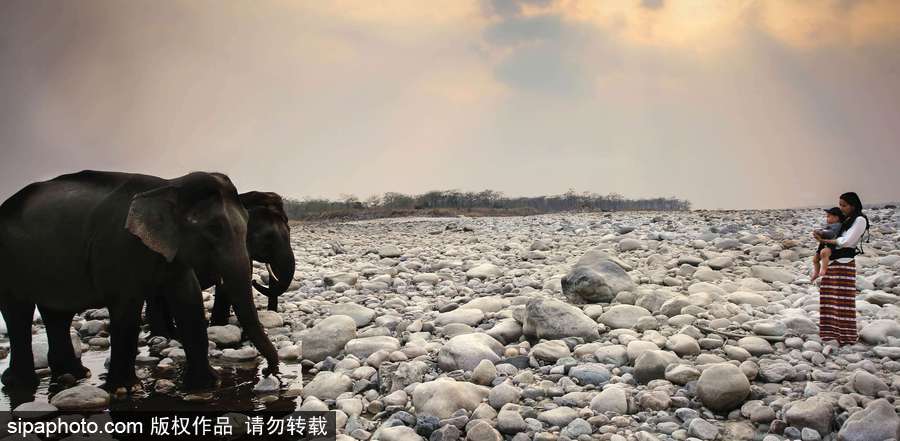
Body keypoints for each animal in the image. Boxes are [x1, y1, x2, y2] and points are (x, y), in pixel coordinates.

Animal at [0, 170, 280, 390]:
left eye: (247, 227)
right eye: (213, 229)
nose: (269, 372)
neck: (169, 184)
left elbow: (188, 299)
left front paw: (207, 384)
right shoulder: (118, 247)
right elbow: (125, 307)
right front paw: (124, 389)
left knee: (56, 313)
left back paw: (75, 374)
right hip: (9, 263)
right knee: (18, 312)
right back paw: (20, 383)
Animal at [145, 189, 296, 336]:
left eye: (289, 230)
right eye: (267, 237)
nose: (255, 281)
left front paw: (219, 325)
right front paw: (219, 325)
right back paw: (164, 334)